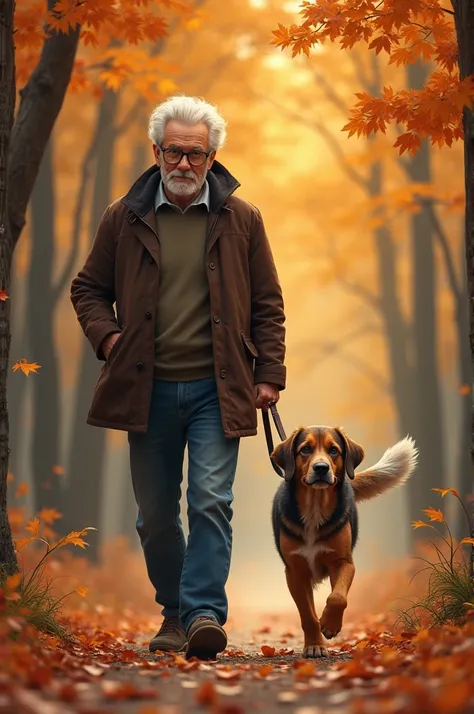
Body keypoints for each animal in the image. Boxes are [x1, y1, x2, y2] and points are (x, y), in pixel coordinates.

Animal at [270, 422, 418, 656]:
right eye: (305, 449)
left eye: (333, 450)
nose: (321, 468)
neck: (315, 509)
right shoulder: (295, 572)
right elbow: (307, 615)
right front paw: (315, 644)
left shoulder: (343, 562)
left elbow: (337, 597)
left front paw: (330, 625)